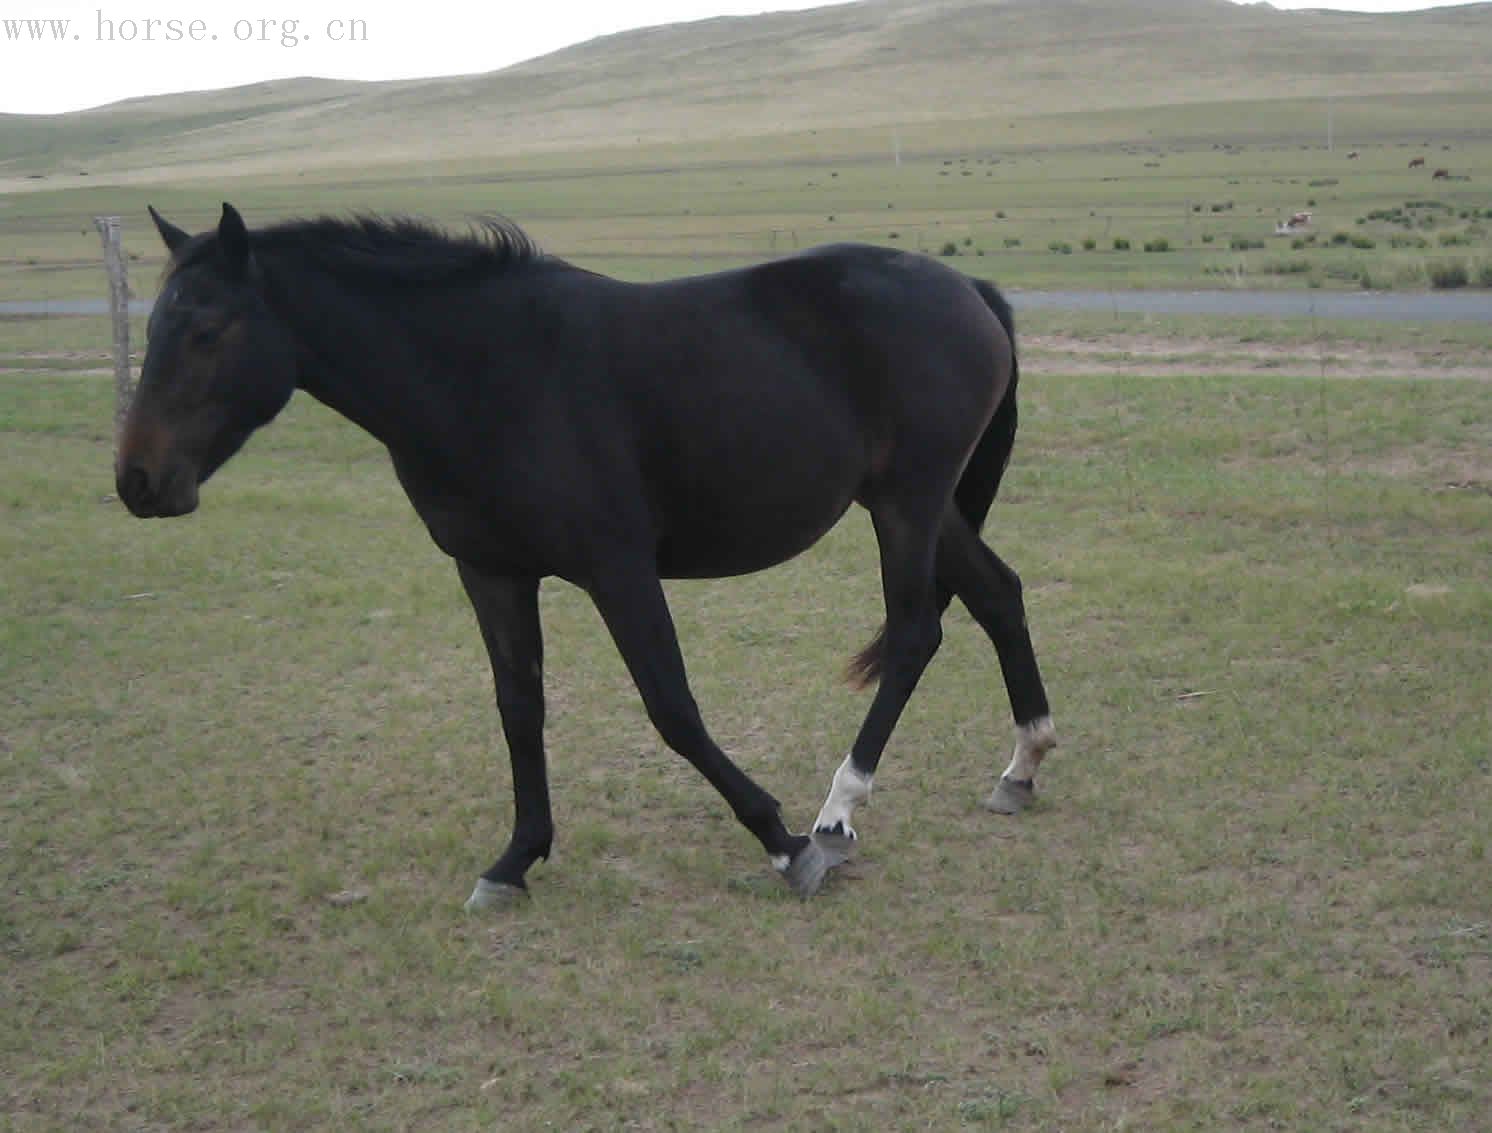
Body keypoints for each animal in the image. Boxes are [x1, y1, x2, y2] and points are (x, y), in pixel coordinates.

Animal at [119, 204, 1062, 907]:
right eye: (157, 326)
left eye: (206, 330)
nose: (136, 480)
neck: (488, 373)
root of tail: (969, 289)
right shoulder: (492, 573)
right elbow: (519, 708)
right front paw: (516, 858)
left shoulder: (619, 569)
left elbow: (672, 708)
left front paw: (782, 840)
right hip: (922, 505)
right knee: (998, 595)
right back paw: (1021, 766)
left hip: (907, 503)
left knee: (913, 635)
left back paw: (836, 814)